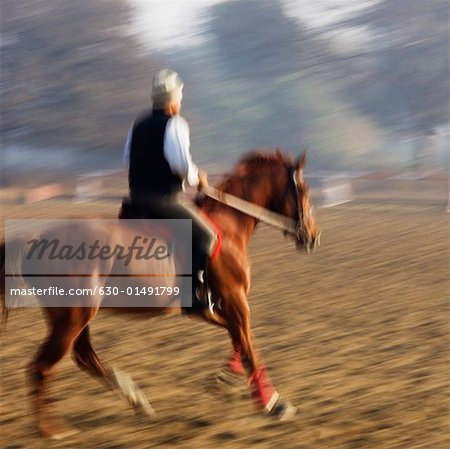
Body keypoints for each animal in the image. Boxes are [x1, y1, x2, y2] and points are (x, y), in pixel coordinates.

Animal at [0, 149, 318, 436]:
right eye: (303, 190)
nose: (313, 237)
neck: (228, 227)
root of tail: (38, 238)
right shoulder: (236, 300)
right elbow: (250, 346)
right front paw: (273, 404)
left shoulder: (212, 308)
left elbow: (238, 339)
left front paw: (225, 380)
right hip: (73, 317)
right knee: (41, 368)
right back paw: (51, 429)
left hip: (76, 316)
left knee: (83, 357)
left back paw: (136, 399)